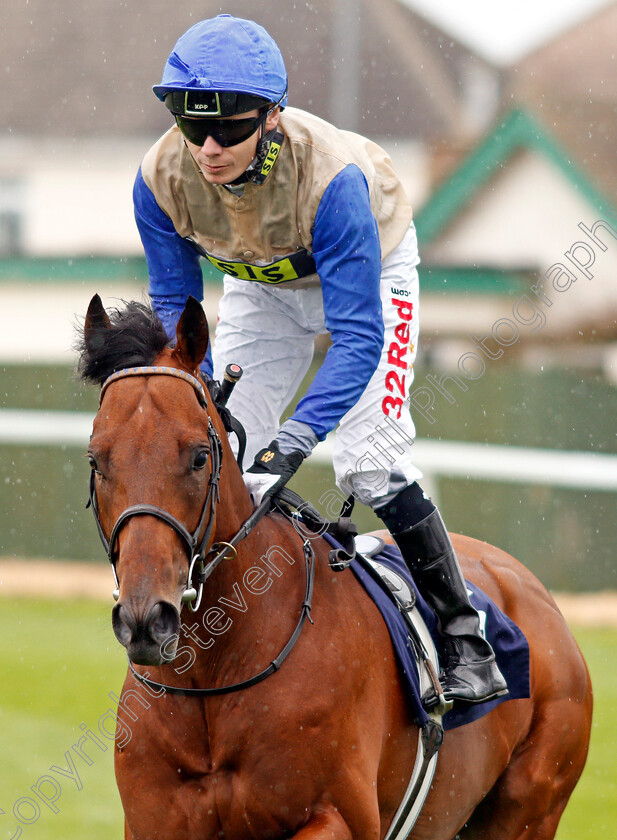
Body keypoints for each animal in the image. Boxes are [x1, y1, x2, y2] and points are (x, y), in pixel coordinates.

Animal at [78, 296, 592, 840]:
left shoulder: (341, 817)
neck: (213, 676)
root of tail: (534, 591)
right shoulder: (154, 820)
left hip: (530, 804)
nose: (145, 620)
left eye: (199, 457)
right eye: (96, 460)